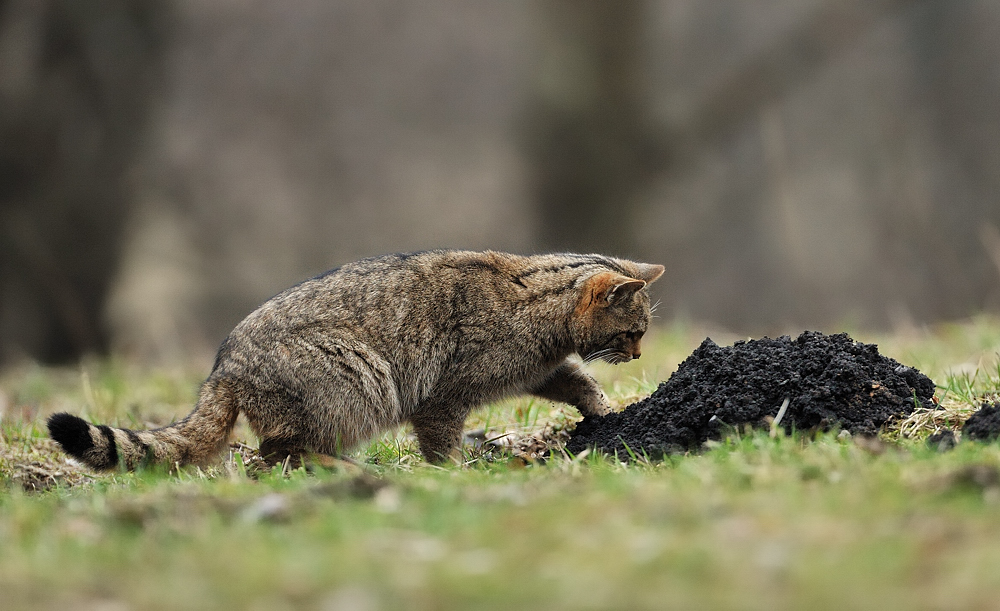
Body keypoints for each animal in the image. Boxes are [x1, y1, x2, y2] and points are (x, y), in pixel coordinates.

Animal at [52, 251, 664, 470]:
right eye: (634, 332)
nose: (638, 354)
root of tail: (224, 365)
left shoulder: (541, 367)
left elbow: (576, 381)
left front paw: (603, 407)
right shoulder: (445, 393)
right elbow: (439, 439)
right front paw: (449, 472)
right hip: (355, 380)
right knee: (274, 451)